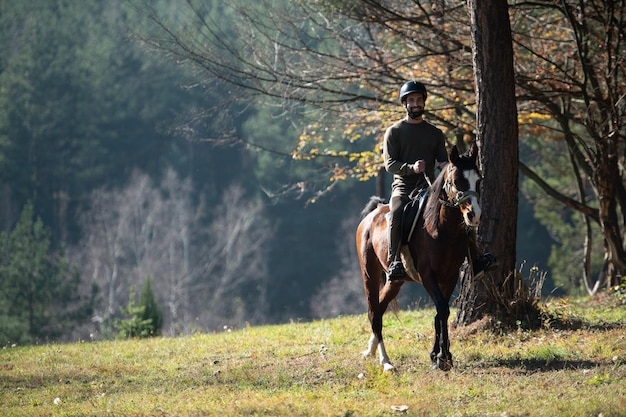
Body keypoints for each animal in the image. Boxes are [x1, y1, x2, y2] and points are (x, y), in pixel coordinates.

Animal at [354, 144, 480, 370]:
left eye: (479, 179)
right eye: (457, 180)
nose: (475, 215)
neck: (440, 230)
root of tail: (372, 216)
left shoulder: (449, 277)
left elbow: (440, 312)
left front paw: (439, 355)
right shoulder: (428, 276)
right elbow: (442, 310)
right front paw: (442, 358)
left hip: (394, 282)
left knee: (380, 309)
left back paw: (371, 350)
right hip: (369, 273)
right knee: (374, 313)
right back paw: (386, 362)